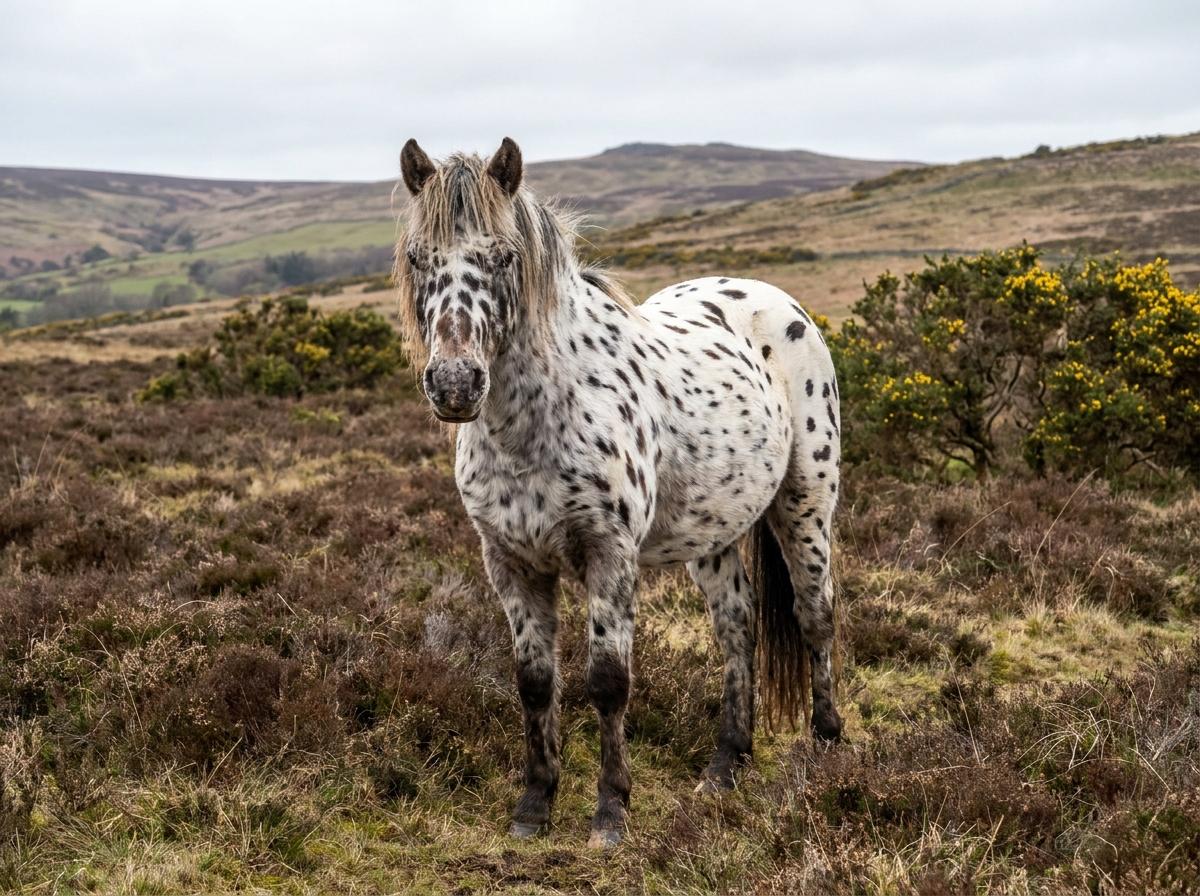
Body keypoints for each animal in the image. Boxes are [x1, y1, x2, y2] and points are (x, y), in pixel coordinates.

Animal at [394, 137, 843, 848]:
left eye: (504, 256)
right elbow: (534, 682)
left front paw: (610, 812)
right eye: (418, 257)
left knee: (814, 615)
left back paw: (826, 750)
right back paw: (726, 764)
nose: (456, 384)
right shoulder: (510, 562)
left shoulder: (610, 554)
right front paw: (534, 805)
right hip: (712, 533)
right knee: (737, 627)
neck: (535, 424)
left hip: (807, 501)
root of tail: (776, 301)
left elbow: (607, 682)